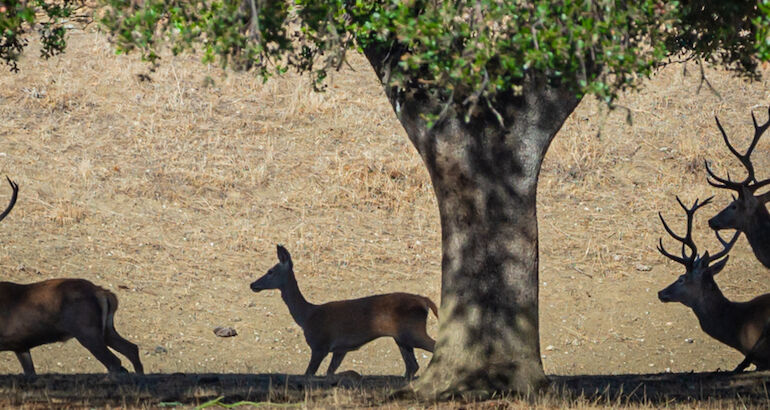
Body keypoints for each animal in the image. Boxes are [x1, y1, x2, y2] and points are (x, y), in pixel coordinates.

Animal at [0, 178, 142, 376]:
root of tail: (104, 293)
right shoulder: (21, 346)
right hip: (106, 330)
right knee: (131, 349)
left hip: (87, 332)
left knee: (115, 362)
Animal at [249, 245, 436, 380]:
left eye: (270, 271)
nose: (252, 284)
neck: (306, 316)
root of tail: (424, 301)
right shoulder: (340, 349)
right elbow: (329, 372)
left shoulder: (320, 344)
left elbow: (309, 374)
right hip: (401, 338)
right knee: (412, 366)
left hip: (412, 331)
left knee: (432, 348)